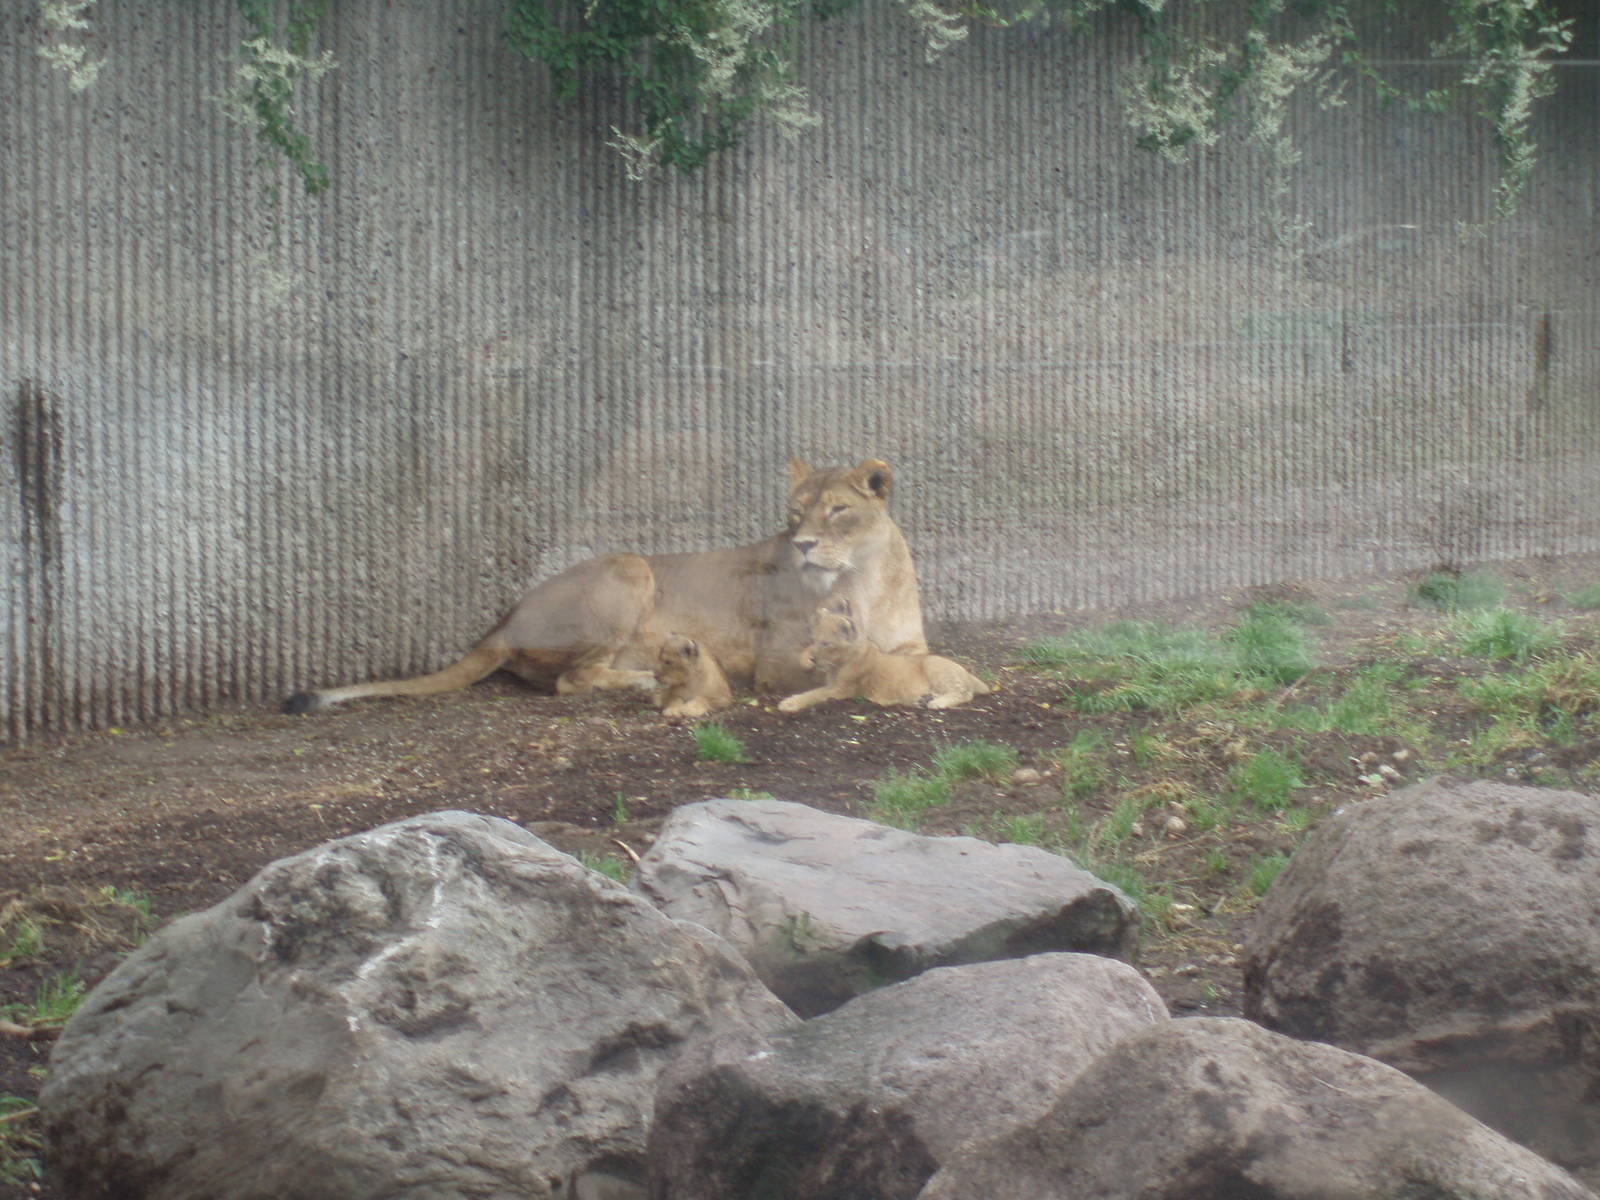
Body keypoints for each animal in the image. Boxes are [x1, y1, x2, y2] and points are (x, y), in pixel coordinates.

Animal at [282, 458, 927, 713]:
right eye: (794, 514)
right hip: (631, 566)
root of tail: (502, 621)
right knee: (572, 680)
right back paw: (645, 679)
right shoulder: (775, 660)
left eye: (838, 510)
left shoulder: (910, 642)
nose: (803, 545)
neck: (864, 577)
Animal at [778, 600, 989, 712]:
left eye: (826, 644)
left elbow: (813, 694)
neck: (838, 665)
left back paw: (937, 703)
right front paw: (805, 660)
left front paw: (789, 703)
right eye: (813, 639)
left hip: (934, 664)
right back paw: (925, 698)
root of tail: (968, 674)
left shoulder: (840, 690)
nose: (814, 660)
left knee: (964, 692)